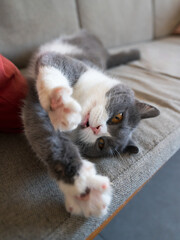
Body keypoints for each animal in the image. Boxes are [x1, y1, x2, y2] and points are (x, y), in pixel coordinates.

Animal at [21, 29, 160, 218]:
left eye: (101, 143)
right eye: (118, 117)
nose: (96, 128)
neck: (81, 99)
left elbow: (45, 136)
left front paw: (85, 190)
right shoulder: (75, 67)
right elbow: (53, 61)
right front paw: (60, 104)